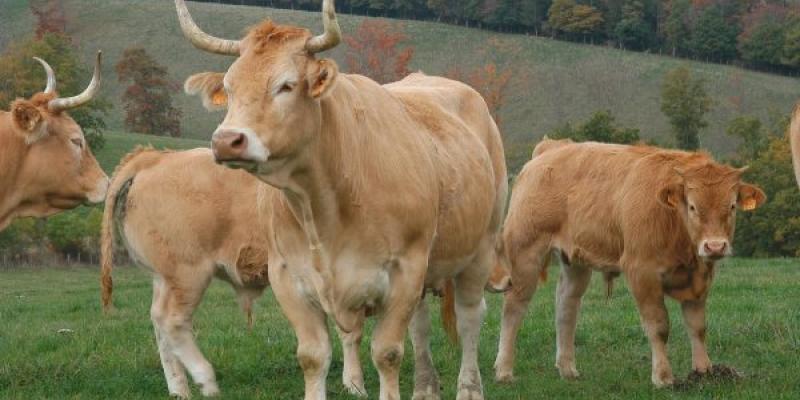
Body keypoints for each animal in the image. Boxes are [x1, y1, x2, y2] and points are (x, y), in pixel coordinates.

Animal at [98, 148, 368, 398]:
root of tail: (155, 156)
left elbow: (350, 332)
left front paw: (354, 385)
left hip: (164, 278)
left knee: (159, 325)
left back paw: (180, 390)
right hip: (187, 273)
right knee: (170, 320)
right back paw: (206, 379)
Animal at [175, 1, 510, 398]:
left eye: (286, 85)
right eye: (229, 87)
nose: (227, 140)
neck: (323, 204)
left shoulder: (406, 269)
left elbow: (387, 353)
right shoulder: (288, 275)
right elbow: (313, 356)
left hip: (481, 247)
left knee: (471, 316)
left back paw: (469, 387)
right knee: (420, 325)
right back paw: (423, 386)